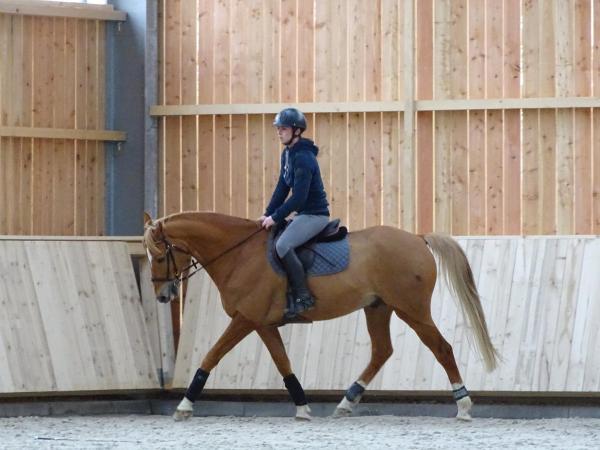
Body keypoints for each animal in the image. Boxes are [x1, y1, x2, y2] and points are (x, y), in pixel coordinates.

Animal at [143, 211, 500, 422]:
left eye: (159, 255)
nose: (162, 296)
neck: (239, 253)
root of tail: (416, 238)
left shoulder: (245, 319)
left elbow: (211, 356)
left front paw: (184, 406)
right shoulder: (263, 324)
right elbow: (284, 364)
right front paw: (302, 406)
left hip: (411, 309)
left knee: (441, 349)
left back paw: (463, 405)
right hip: (378, 307)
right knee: (382, 351)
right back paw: (347, 401)